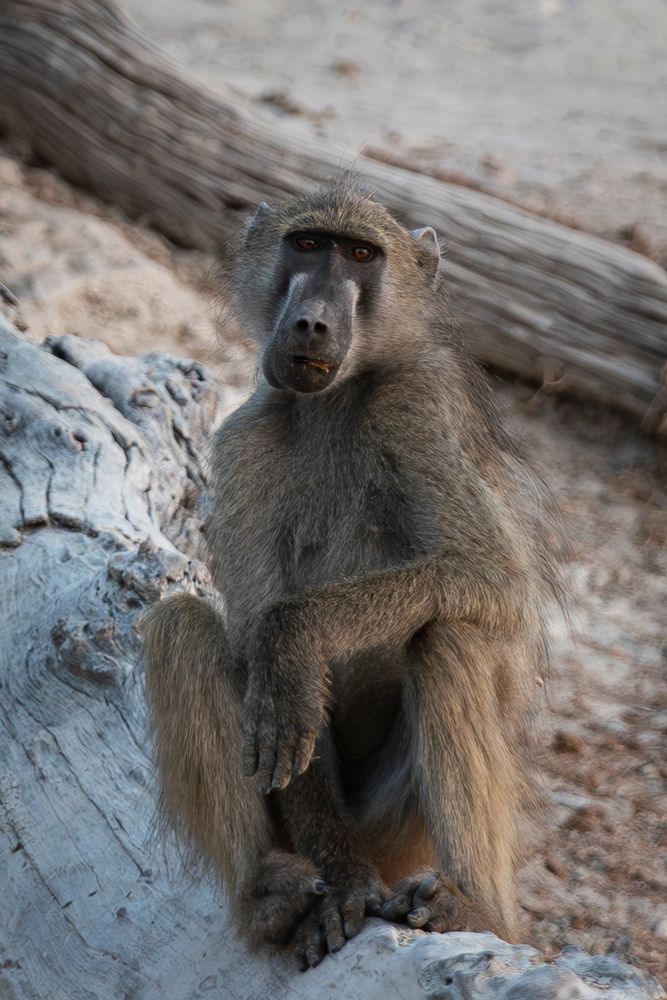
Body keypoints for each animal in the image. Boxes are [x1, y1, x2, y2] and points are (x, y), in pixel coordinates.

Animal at [143, 178, 560, 969]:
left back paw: (477, 908)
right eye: (308, 245)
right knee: (179, 625)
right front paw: (340, 889)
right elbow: (256, 661)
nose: (310, 322)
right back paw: (270, 894)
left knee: (448, 639)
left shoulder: (416, 408)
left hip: (398, 831)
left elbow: (491, 575)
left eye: (361, 256)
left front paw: (295, 637)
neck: (333, 404)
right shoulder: (245, 442)